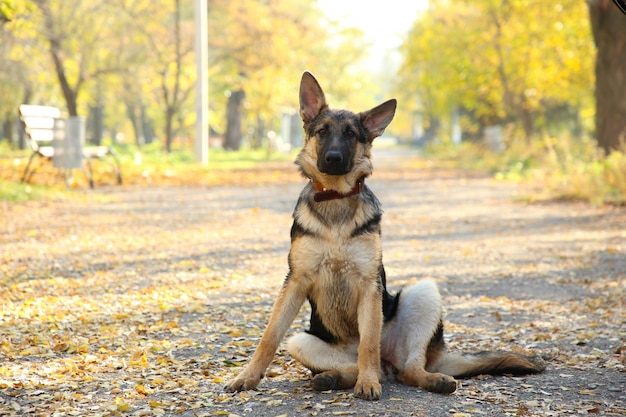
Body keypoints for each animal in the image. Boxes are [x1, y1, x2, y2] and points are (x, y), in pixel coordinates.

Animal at [224, 71, 540, 400]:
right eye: (322, 131)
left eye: (352, 134)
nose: (334, 158)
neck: (336, 199)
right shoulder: (295, 281)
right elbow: (269, 336)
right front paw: (247, 377)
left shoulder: (369, 284)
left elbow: (368, 343)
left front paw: (368, 383)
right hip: (301, 341)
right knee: (361, 367)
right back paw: (331, 378)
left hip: (423, 293)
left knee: (402, 368)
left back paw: (421, 379)